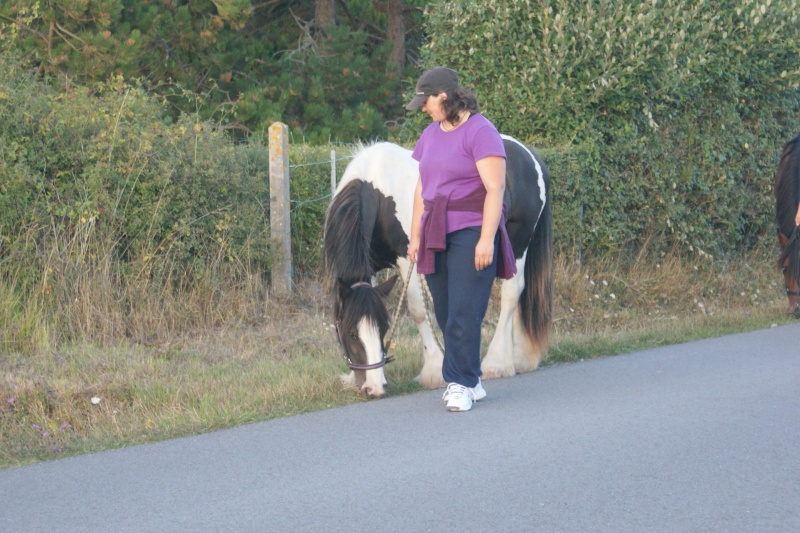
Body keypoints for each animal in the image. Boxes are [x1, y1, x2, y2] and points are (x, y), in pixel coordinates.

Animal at [322, 137, 552, 394]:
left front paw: (434, 370)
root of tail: (527, 153)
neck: (378, 192)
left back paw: (496, 363)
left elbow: (418, 310)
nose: (374, 387)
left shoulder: (408, 257)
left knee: (511, 294)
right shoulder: (369, 265)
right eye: (351, 333)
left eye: (383, 327)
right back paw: (518, 359)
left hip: (519, 241)